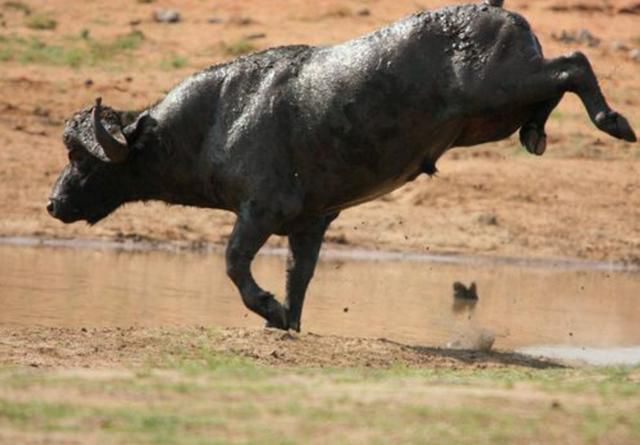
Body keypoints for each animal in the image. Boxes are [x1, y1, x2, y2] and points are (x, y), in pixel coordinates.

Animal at [47, 0, 636, 330]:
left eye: (78, 156)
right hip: (491, 116)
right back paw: (537, 133)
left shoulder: (259, 210)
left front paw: (267, 310)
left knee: (573, 64)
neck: (215, 119)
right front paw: (287, 321)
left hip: (500, 88)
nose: (52, 204)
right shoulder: (309, 223)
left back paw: (614, 121)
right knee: (553, 86)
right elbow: (299, 277)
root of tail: (498, 13)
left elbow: (234, 263)